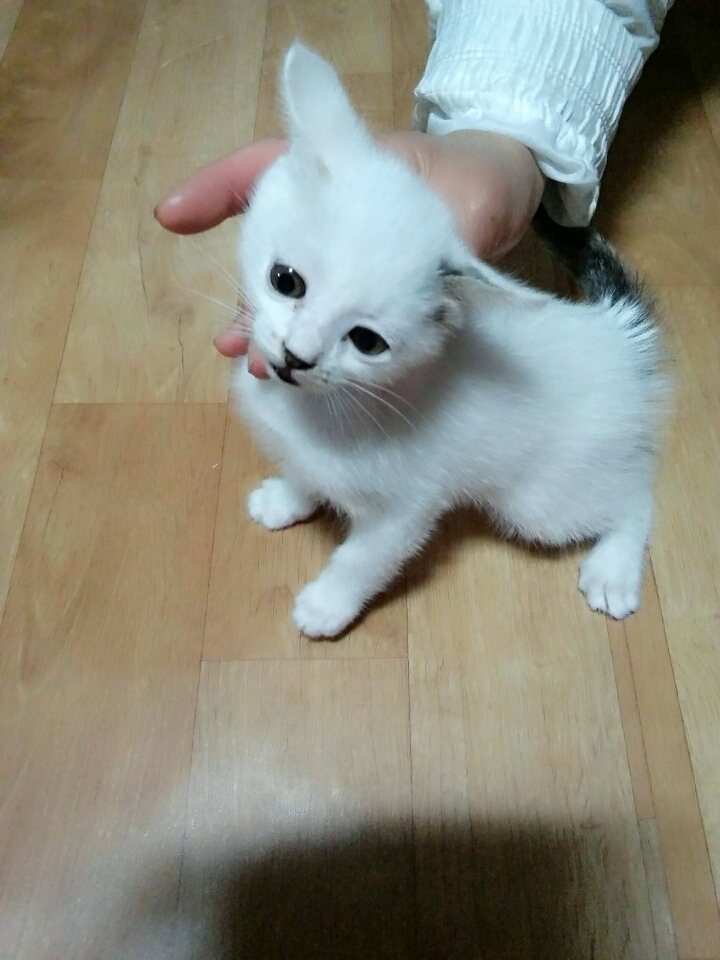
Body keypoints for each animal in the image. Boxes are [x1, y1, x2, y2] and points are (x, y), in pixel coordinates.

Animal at [232, 42, 668, 639]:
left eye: (366, 341)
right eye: (284, 280)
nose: (297, 357)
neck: (320, 408)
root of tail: (615, 330)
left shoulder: (407, 507)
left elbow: (364, 558)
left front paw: (326, 605)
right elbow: (304, 469)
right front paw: (286, 497)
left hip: (541, 500)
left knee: (633, 492)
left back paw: (614, 570)